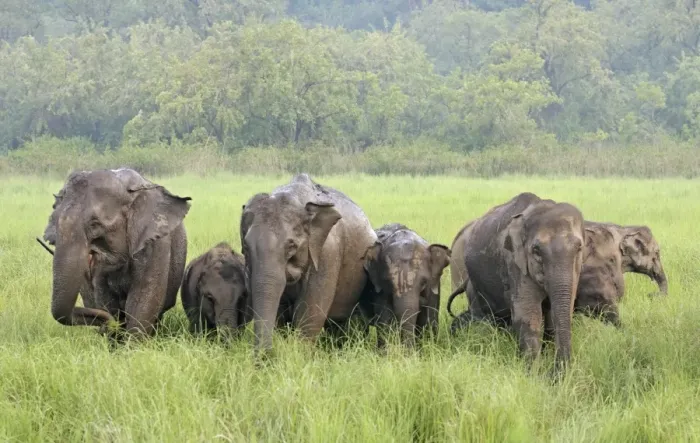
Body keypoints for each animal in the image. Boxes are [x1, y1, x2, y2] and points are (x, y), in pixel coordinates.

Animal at [42, 168, 190, 338]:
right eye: (54, 219)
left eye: (95, 224)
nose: (110, 325)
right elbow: (105, 297)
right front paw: (115, 338)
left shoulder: (155, 243)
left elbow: (144, 297)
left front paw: (132, 343)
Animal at [240, 173, 377, 353]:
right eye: (246, 246)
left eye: (291, 245)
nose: (265, 356)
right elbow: (281, 311)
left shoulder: (328, 252)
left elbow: (309, 312)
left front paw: (298, 353)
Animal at [446, 192, 586, 370]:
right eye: (536, 250)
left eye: (579, 248)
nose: (553, 373)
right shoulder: (515, 262)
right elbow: (528, 315)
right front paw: (533, 373)